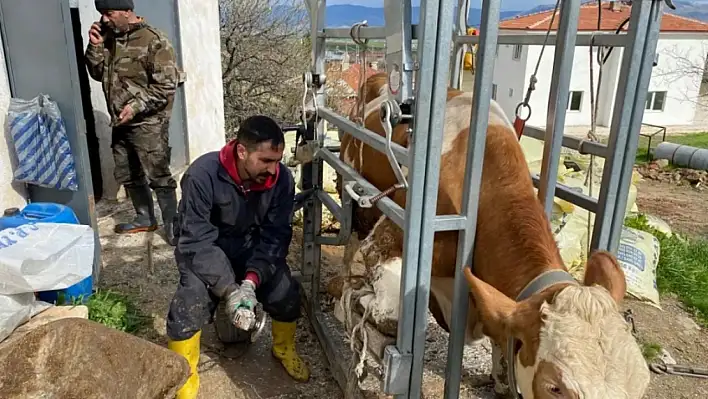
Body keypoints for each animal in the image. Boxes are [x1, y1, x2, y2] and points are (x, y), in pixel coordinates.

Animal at [330, 72, 648, 399]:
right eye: (554, 386)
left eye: (642, 384)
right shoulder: (385, 244)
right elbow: (386, 315)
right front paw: (356, 301)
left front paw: (501, 379)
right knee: (350, 243)